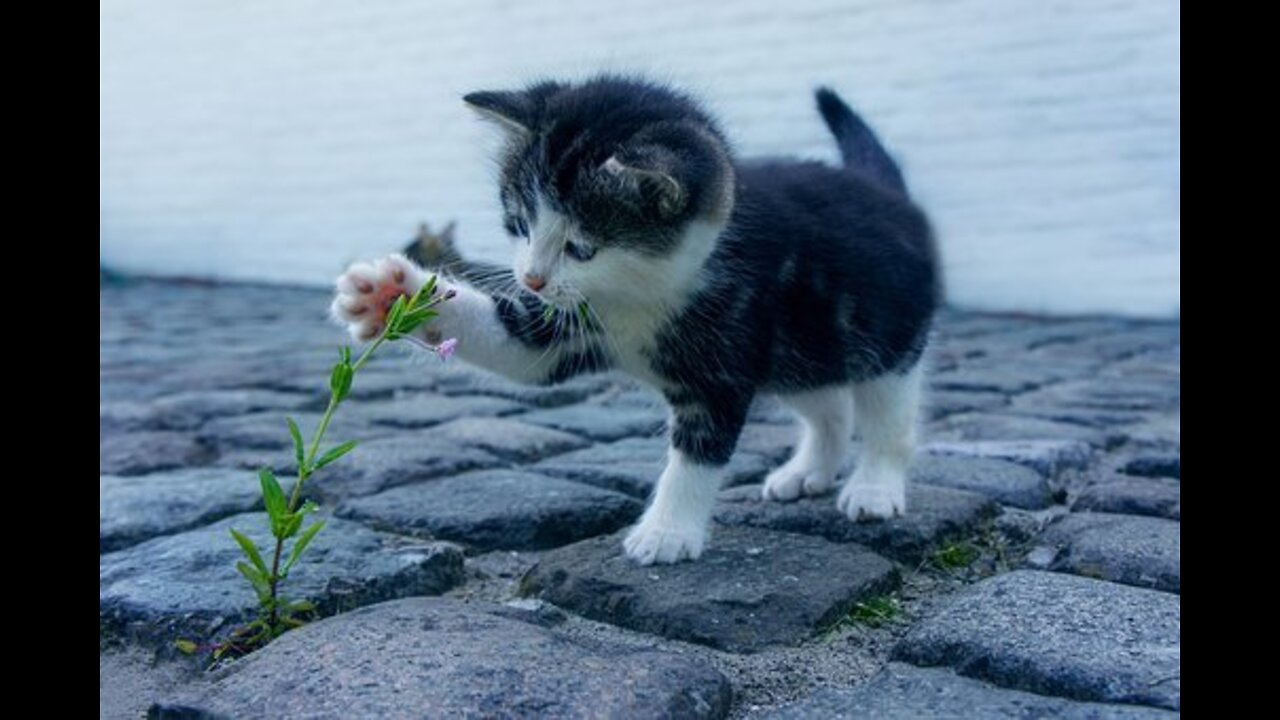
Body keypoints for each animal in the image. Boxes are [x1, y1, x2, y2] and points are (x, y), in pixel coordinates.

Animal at [332, 75, 942, 563]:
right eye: (520, 224)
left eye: (582, 248)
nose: (530, 279)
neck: (640, 293)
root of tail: (888, 192)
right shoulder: (568, 325)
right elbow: (518, 347)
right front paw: (391, 294)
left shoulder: (724, 358)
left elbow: (697, 453)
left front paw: (667, 532)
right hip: (801, 348)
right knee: (828, 405)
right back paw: (808, 470)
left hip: (886, 335)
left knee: (888, 416)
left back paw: (874, 487)